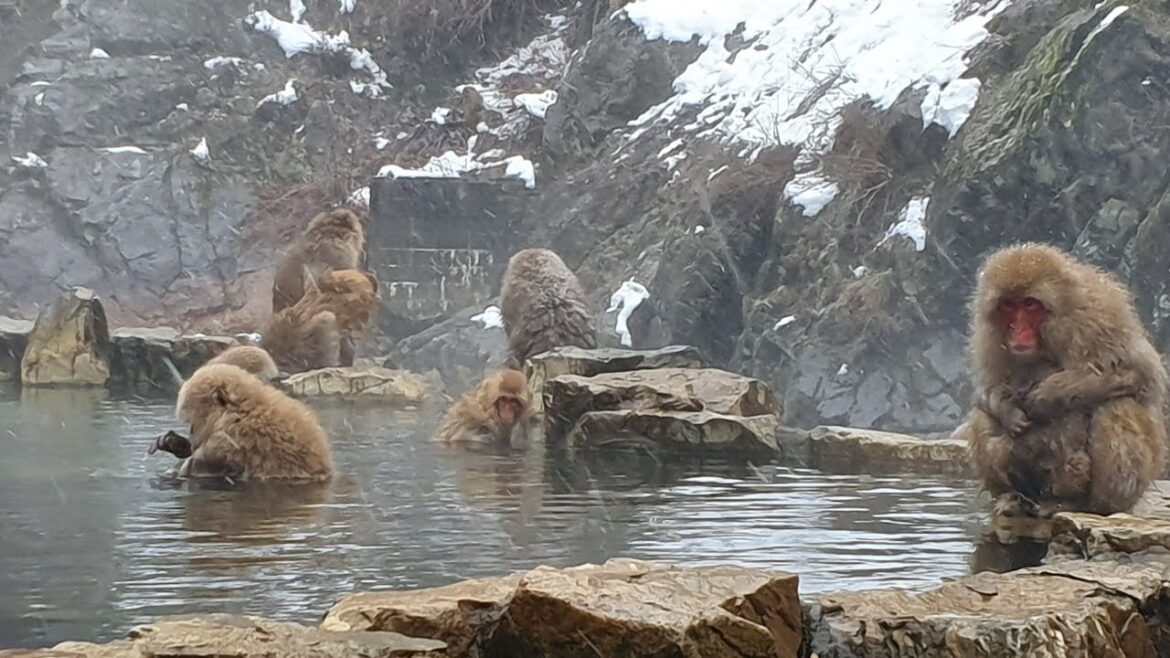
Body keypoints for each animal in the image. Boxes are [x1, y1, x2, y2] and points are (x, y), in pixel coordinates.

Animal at [958, 243, 1168, 517]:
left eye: (1029, 304)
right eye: (1009, 306)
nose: (1018, 330)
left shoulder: (1095, 320)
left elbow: (1138, 371)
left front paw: (1047, 396)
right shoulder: (989, 338)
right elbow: (988, 386)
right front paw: (1007, 410)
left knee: (1116, 405)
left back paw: (1083, 504)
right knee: (982, 416)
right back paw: (1014, 499)